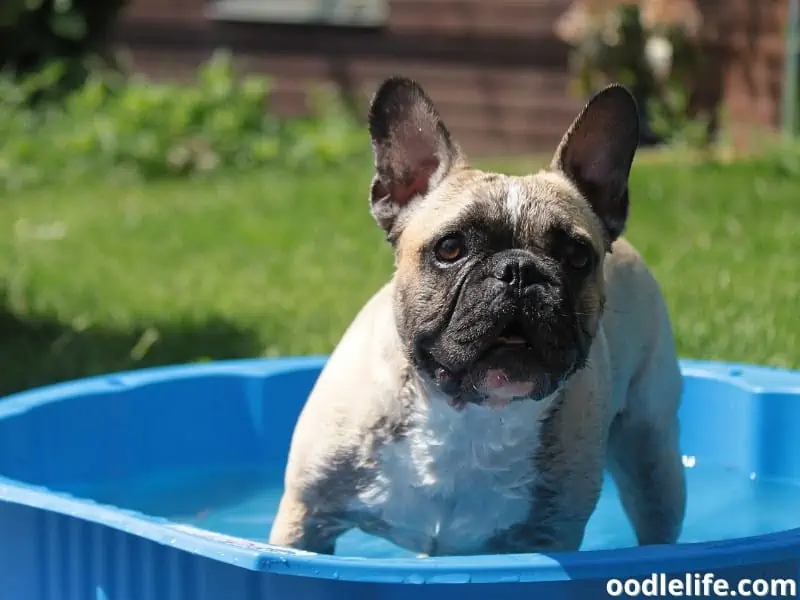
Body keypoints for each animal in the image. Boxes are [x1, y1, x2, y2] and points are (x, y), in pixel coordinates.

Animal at [270, 77, 688, 556]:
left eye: (578, 257)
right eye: (450, 248)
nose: (520, 271)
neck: (469, 418)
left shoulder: (549, 536)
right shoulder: (306, 518)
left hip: (652, 456)